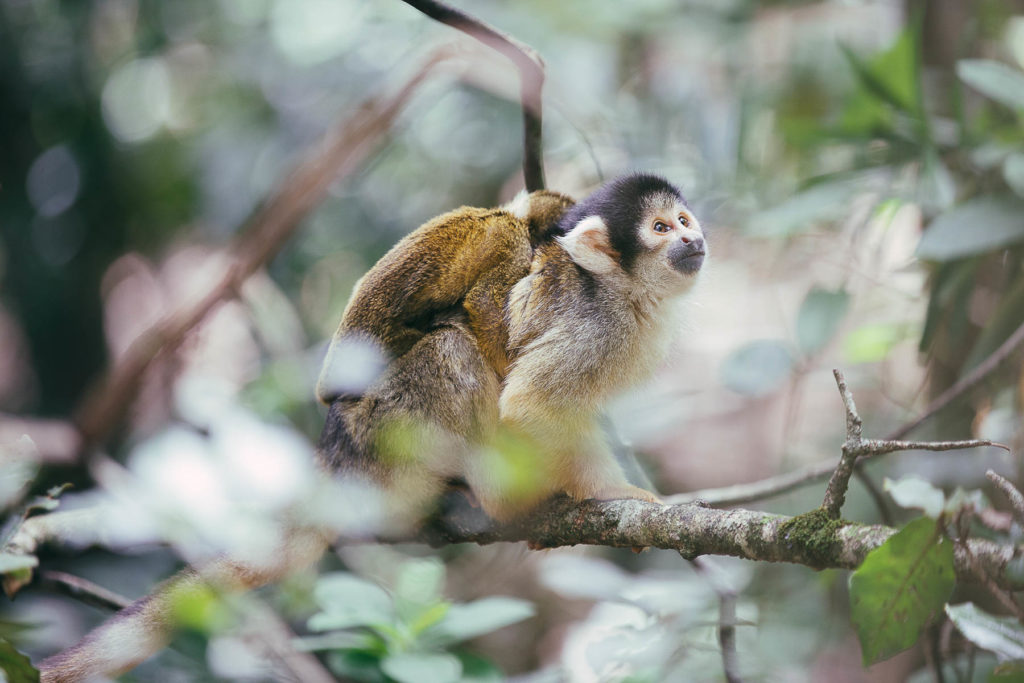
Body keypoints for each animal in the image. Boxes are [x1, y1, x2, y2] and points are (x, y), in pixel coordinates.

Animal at [25, 173, 706, 681]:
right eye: (661, 228)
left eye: (684, 219)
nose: (695, 238)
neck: (620, 290)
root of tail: (336, 454)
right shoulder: (593, 324)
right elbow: (533, 404)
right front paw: (606, 491)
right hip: (387, 426)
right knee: (457, 347)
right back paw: (505, 500)